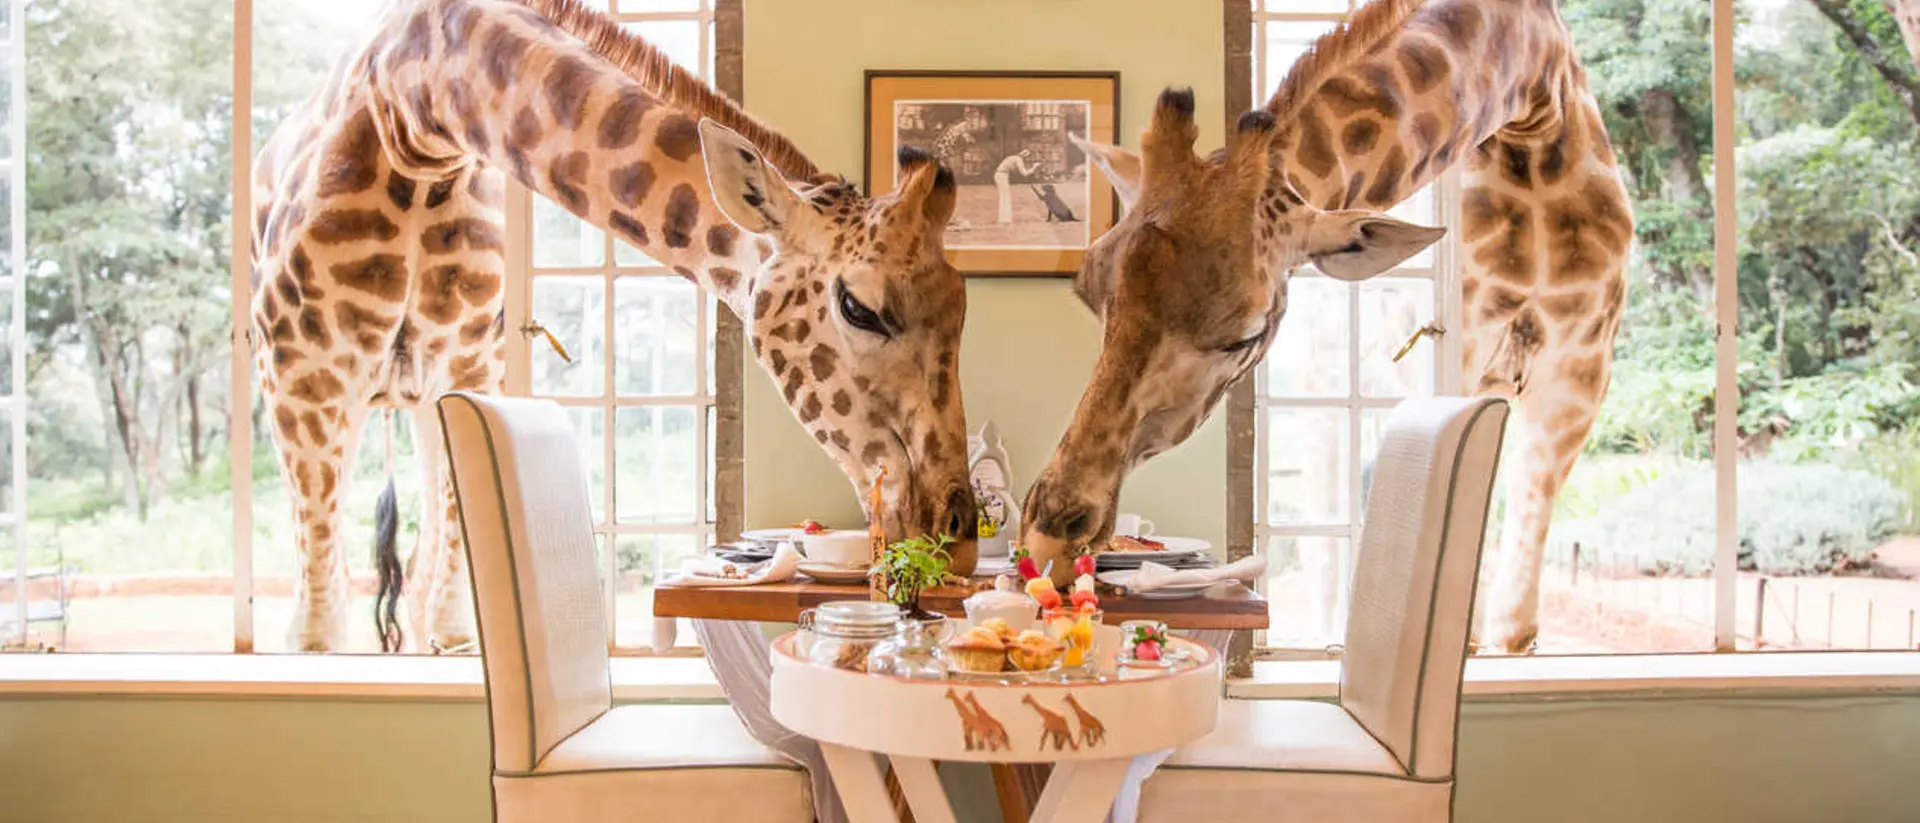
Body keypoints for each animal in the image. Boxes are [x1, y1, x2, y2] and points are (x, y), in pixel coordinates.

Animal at [250, 0, 977, 653]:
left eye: (963, 308)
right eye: (858, 308)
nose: (960, 536)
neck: (417, 117)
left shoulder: (468, 369)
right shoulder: (303, 377)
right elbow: (316, 633)